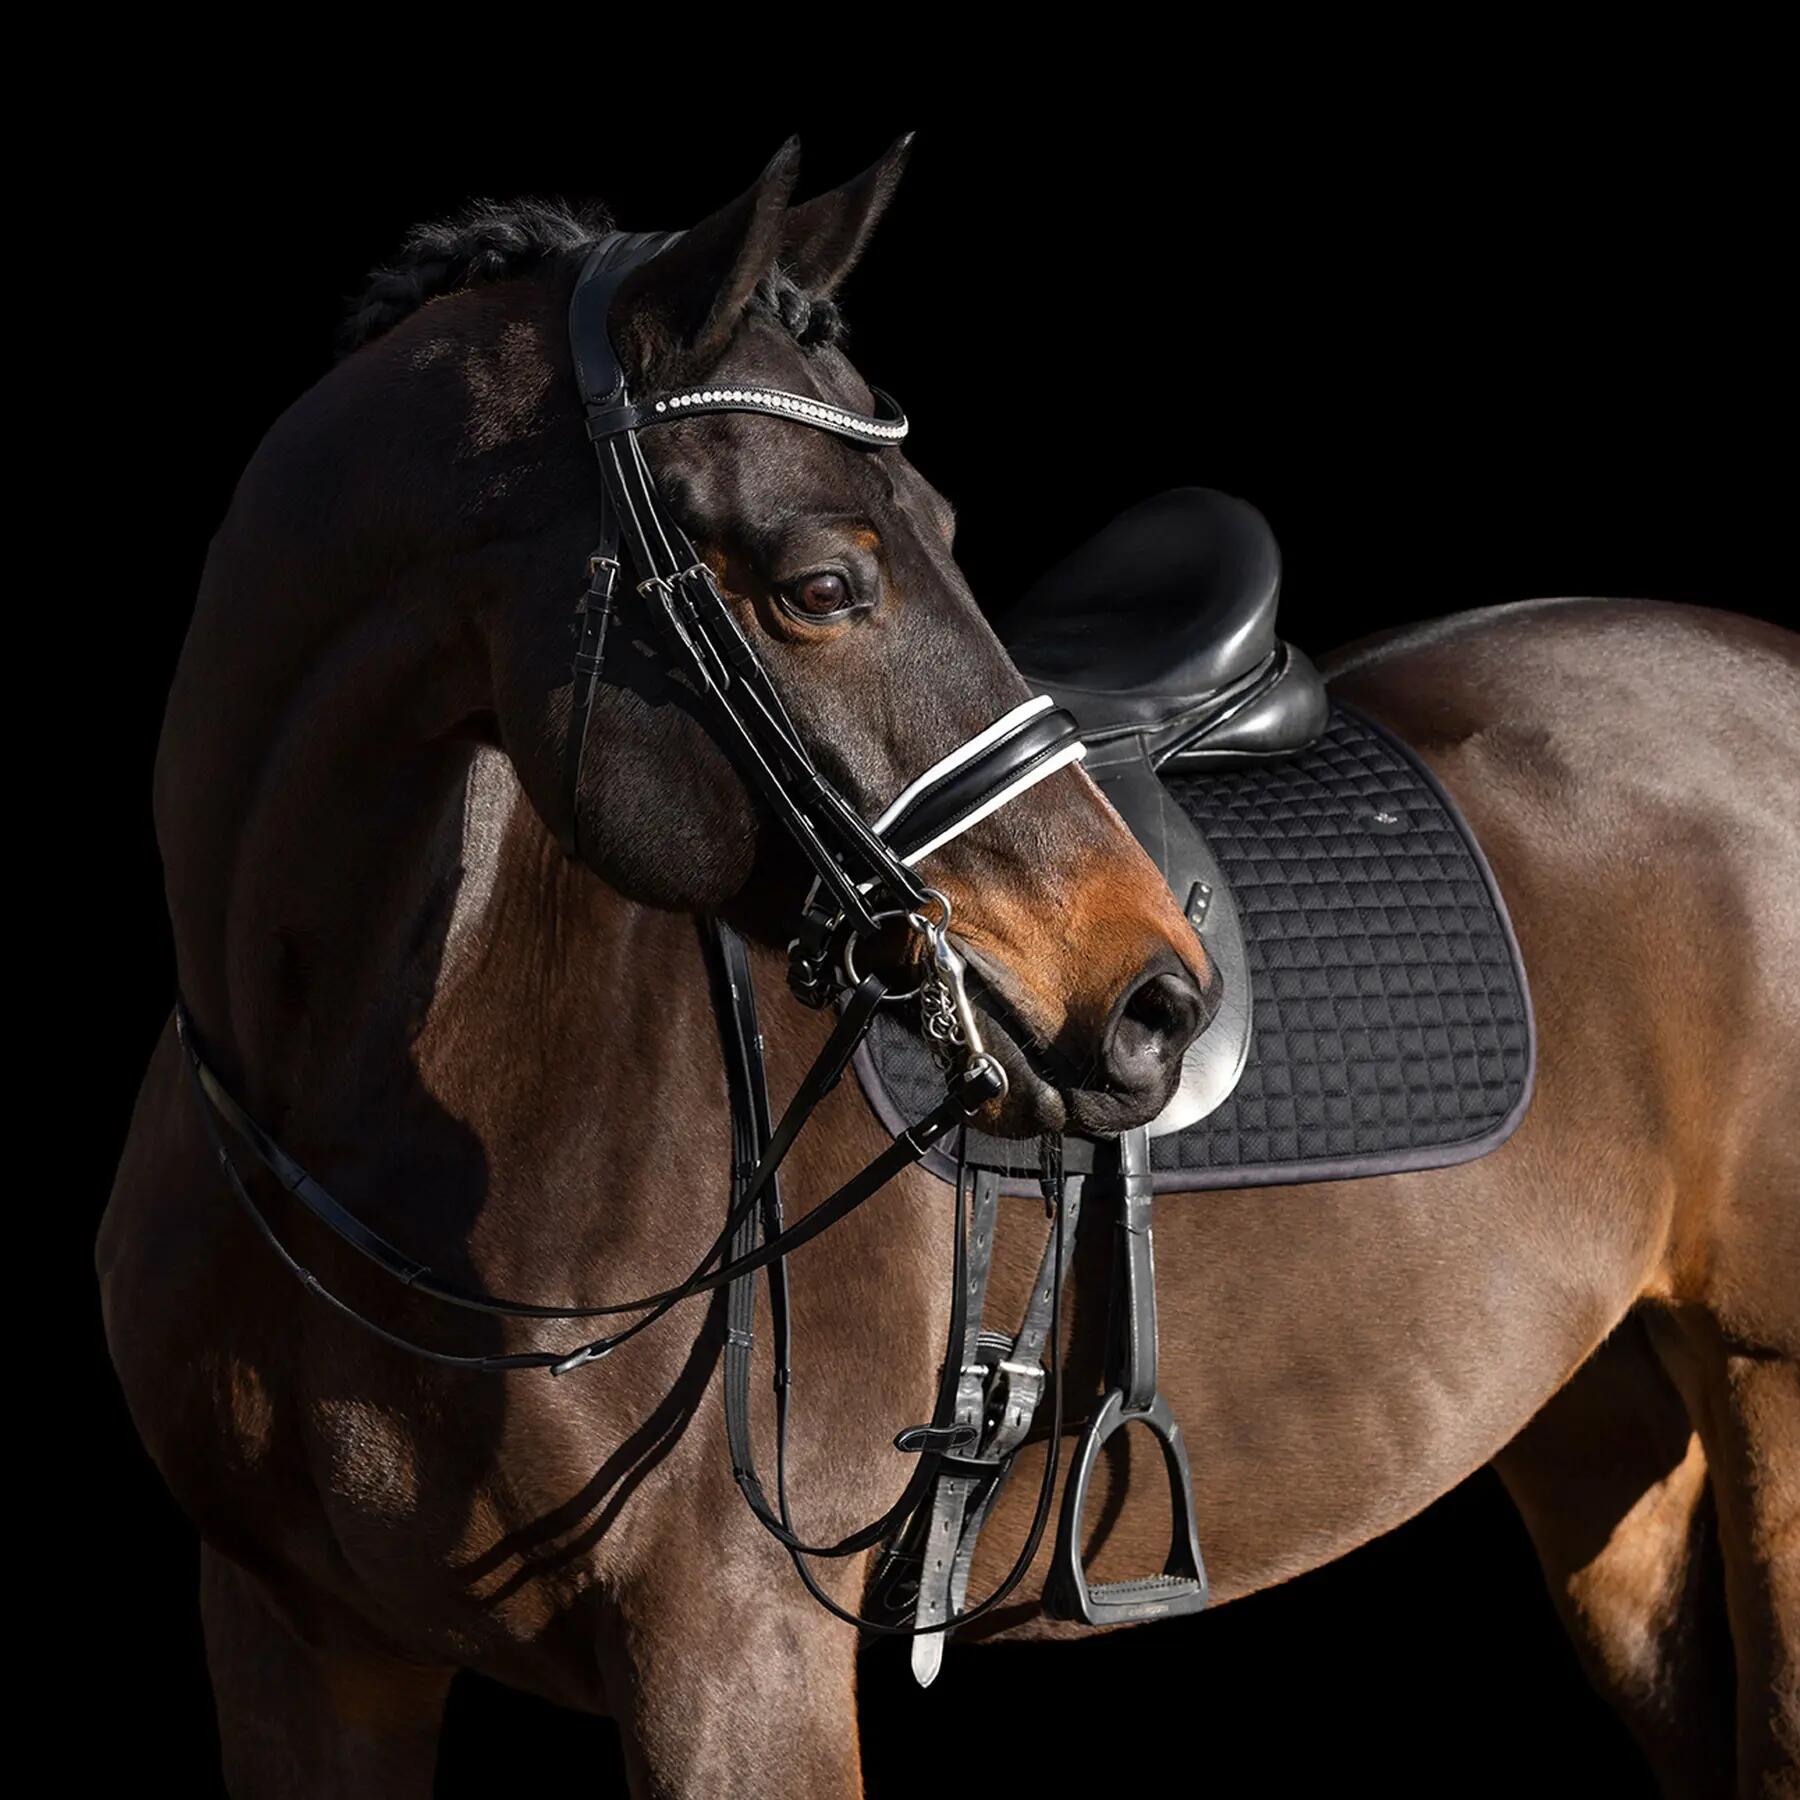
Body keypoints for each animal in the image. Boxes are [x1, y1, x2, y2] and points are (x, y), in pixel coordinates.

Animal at [97, 140, 1799, 1798]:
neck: (377, 1095)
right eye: (821, 585)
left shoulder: (736, 1669)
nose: (1157, 1001)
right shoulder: (300, 1652)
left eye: (948, 530)